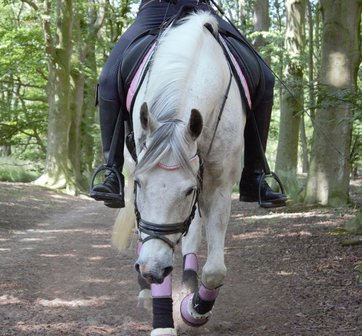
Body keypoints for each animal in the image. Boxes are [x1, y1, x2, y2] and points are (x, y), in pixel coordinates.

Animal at [113, 10, 246, 336]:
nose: (150, 269)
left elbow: (214, 270)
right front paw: (162, 322)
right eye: (140, 184)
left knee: (192, 230)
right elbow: (150, 235)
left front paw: (194, 309)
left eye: (187, 190)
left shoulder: (217, 185)